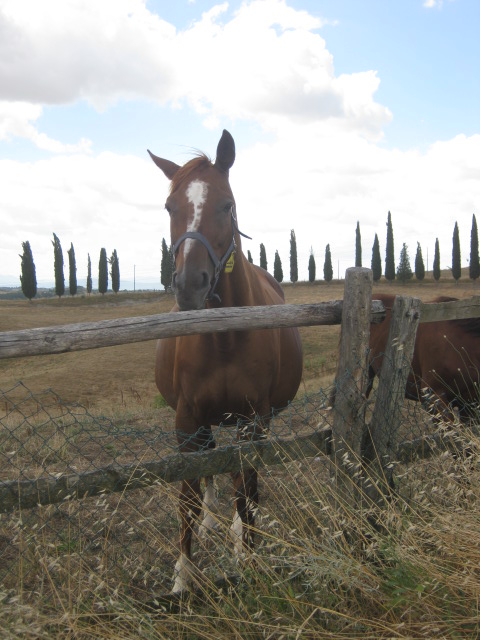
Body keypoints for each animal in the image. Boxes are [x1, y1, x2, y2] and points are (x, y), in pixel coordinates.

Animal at [148, 130, 303, 593]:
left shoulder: (254, 417)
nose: (189, 284)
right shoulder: (186, 420)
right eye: (169, 207)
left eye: (227, 205)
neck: (224, 337)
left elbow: (246, 489)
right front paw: (183, 574)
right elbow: (188, 499)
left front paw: (247, 554)